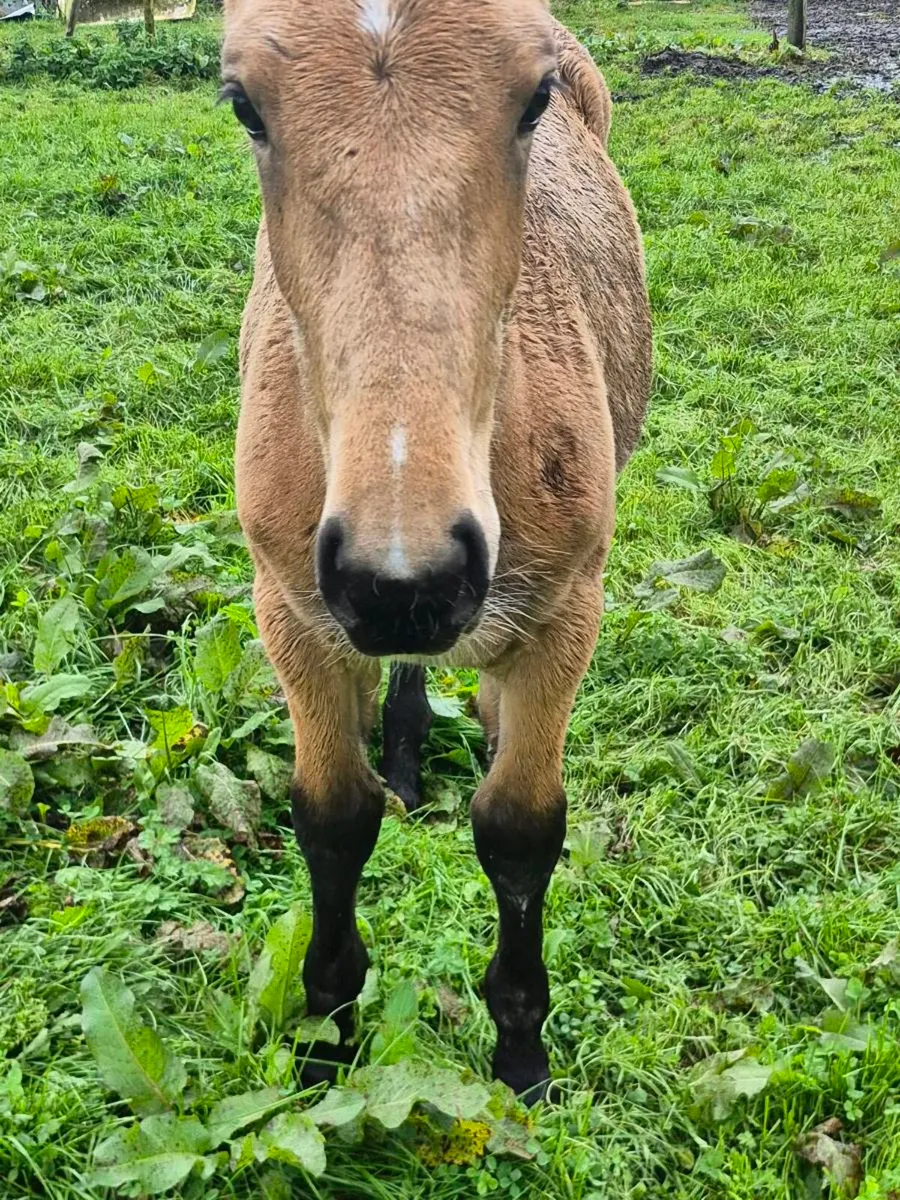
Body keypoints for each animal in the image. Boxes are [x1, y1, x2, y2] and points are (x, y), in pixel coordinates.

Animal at [223, 0, 651, 1102]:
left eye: (534, 97)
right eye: (242, 103)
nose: (406, 581)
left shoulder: (567, 606)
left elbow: (520, 827)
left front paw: (522, 1058)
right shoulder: (293, 607)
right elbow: (332, 818)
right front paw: (327, 1041)